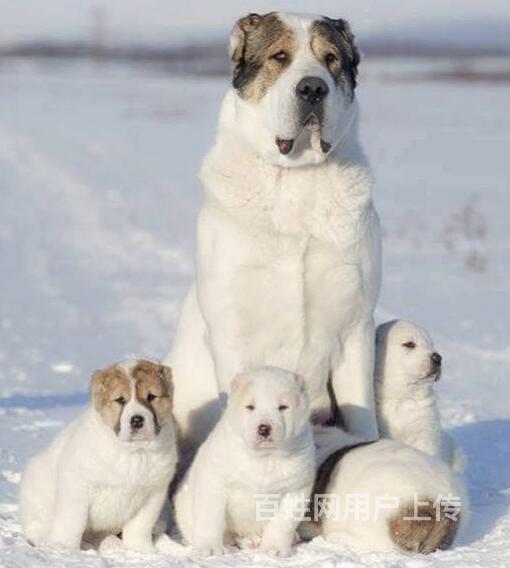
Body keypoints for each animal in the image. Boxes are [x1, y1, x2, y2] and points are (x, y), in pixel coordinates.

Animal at [18, 360, 178, 552]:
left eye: (151, 397)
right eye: (120, 400)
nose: (137, 420)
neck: (133, 452)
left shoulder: (152, 495)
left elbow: (139, 527)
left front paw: (140, 549)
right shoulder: (77, 486)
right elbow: (72, 522)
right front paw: (65, 548)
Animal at [168, 10, 382, 444]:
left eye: (331, 59)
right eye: (279, 57)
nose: (313, 88)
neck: (296, 176)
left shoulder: (354, 327)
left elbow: (363, 415)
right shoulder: (232, 330)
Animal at [176, 366, 318, 556]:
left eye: (283, 407)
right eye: (250, 407)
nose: (264, 428)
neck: (265, 458)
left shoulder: (296, 488)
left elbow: (282, 524)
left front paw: (274, 549)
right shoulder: (214, 482)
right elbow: (211, 518)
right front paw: (210, 548)